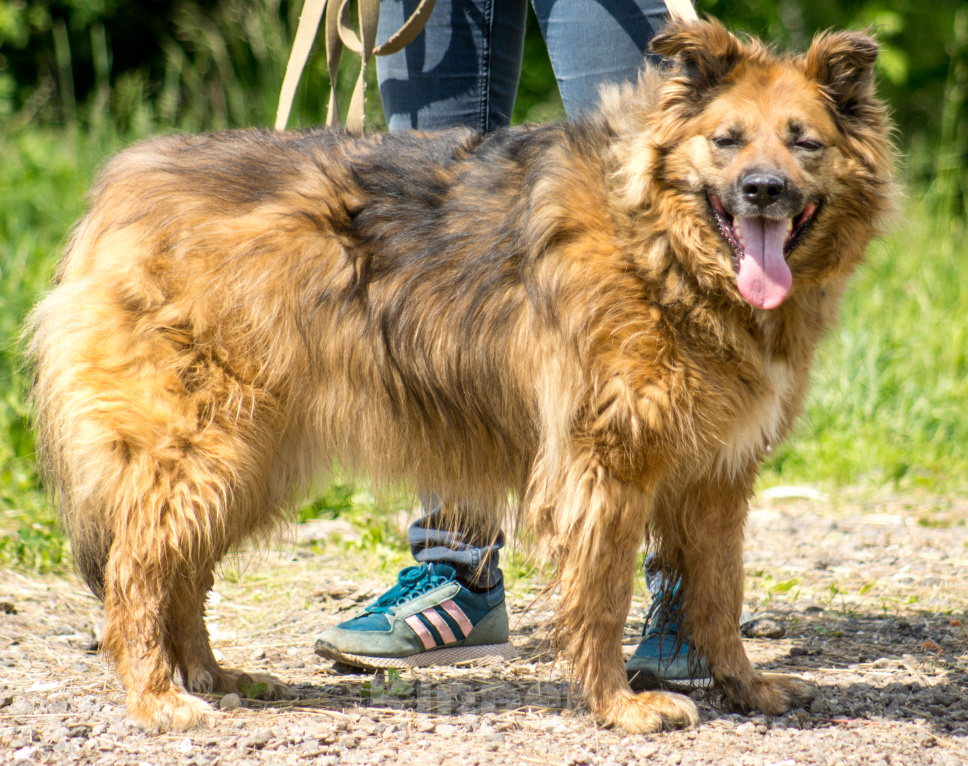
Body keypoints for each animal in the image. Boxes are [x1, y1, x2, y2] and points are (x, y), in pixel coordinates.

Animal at [28, 21, 892, 736]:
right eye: (726, 140)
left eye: (804, 144)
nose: (763, 192)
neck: (660, 249)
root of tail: (123, 186)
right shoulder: (603, 466)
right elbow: (605, 594)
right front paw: (618, 704)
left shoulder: (715, 477)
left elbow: (720, 594)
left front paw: (745, 688)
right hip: (201, 447)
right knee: (138, 574)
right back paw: (159, 696)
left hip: (247, 458)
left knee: (181, 572)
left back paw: (212, 676)